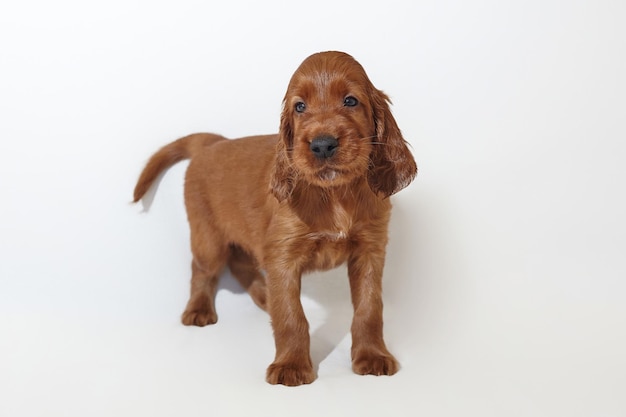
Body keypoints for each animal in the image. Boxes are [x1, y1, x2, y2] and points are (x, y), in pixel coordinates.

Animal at [133, 50, 414, 386]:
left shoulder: (369, 250)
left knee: (242, 264)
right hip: (208, 238)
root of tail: (214, 143)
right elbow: (292, 315)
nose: (322, 144)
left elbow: (370, 308)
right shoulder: (283, 254)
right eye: (300, 106)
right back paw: (200, 309)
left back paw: (265, 296)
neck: (333, 194)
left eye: (350, 101)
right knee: (203, 269)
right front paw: (291, 365)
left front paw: (372, 356)